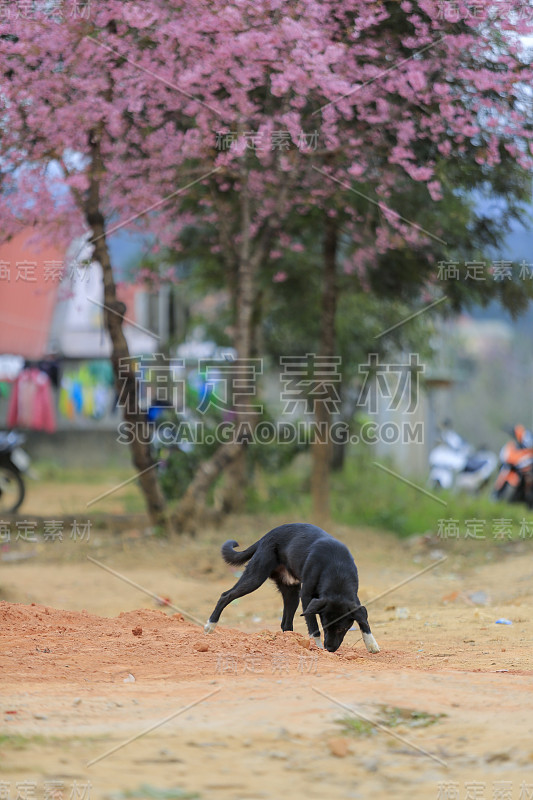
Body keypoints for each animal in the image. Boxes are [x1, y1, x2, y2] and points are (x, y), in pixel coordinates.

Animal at [203, 520, 378, 652]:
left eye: (342, 629)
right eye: (325, 626)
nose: (330, 649)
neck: (337, 570)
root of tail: (266, 536)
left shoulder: (353, 599)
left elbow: (363, 620)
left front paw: (371, 644)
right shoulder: (307, 597)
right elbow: (313, 626)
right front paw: (318, 647)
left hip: (291, 592)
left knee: (285, 623)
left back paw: (291, 641)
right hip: (256, 577)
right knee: (226, 595)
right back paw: (210, 625)